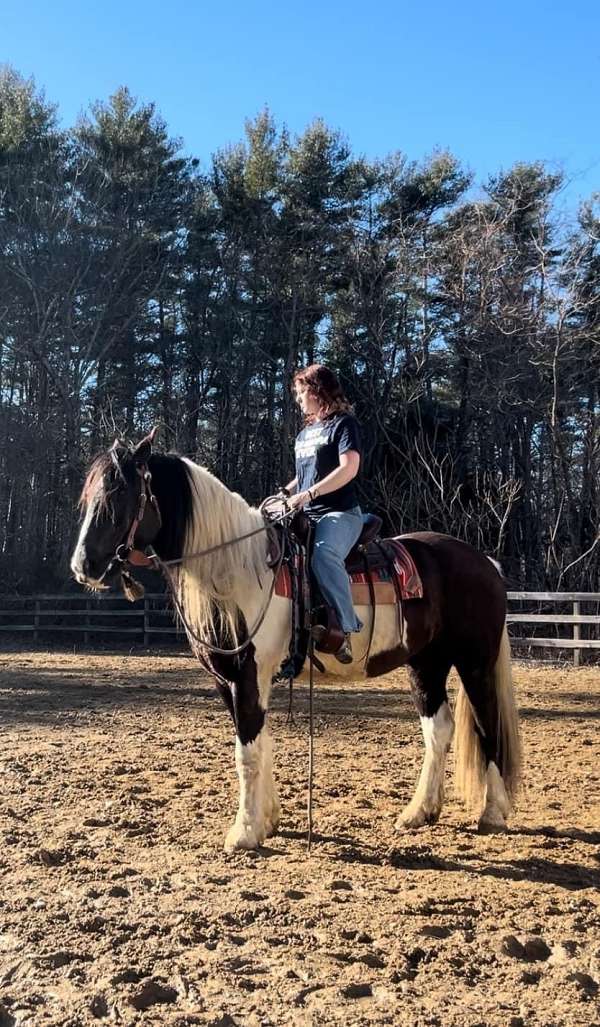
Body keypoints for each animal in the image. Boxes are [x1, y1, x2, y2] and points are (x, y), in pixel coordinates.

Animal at [71, 433, 519, 850]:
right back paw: (419, 812)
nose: (82, 566)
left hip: (474, 661)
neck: (239, 570)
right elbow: (259, 743)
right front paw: (268, 820)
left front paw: (244, 832)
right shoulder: (227, 680)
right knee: (438, 729)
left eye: (119, 494)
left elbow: (247, 752)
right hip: (426, 663)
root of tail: (484, 562)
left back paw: (493, 813)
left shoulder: (249, 675)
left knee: (488, 724)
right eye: (90, 496)